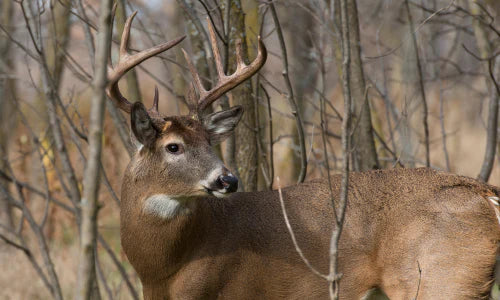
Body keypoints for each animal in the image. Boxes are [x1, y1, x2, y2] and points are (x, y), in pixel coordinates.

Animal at [108, 12, 500, 300]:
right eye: (174, 146)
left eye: (209, 141)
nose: (228, 179)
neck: (162, 271)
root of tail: (485, 194)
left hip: (440, 279)